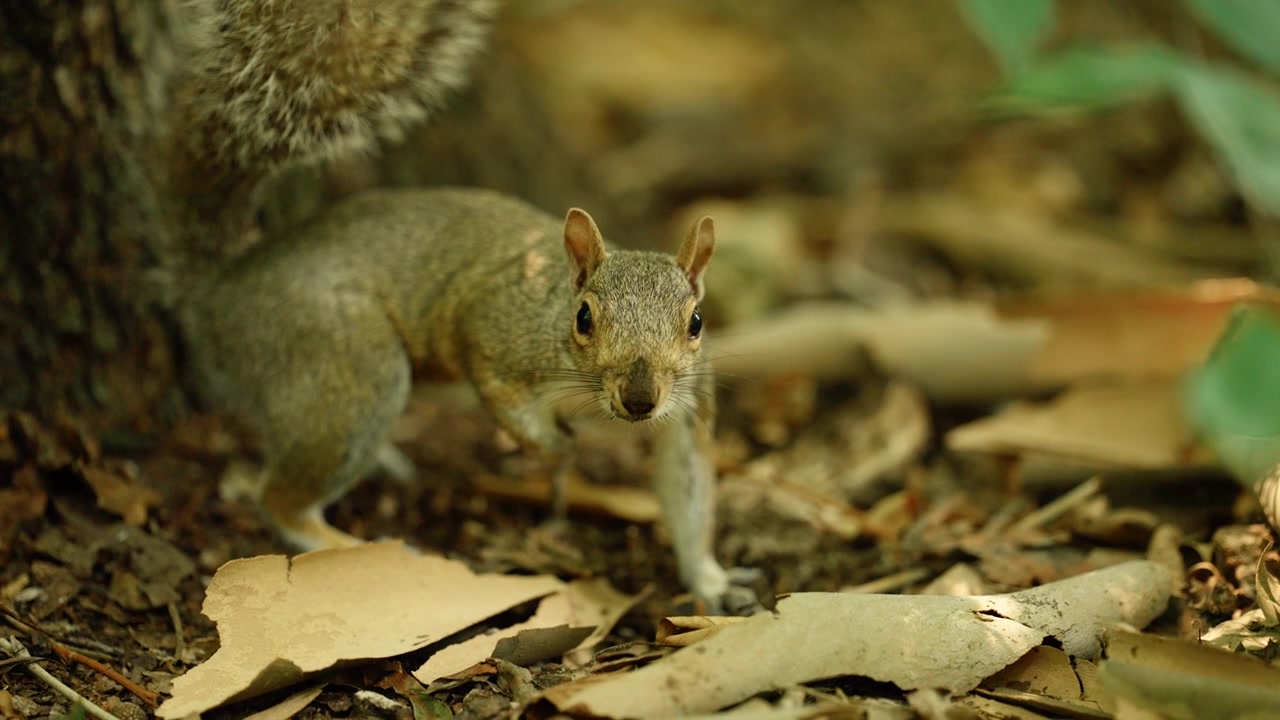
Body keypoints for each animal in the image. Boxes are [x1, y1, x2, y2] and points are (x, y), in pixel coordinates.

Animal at [165, 0, 744, 609]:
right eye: (583, 318)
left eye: (696, 322)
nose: (638, 398)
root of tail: (220, 293)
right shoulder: (493, 336)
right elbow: (504, 400)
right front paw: (553, 447)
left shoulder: (687, 411)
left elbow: (687, 490)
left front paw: (711, 579)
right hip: (348, 359)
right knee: (280, 500)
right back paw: (349, 544)